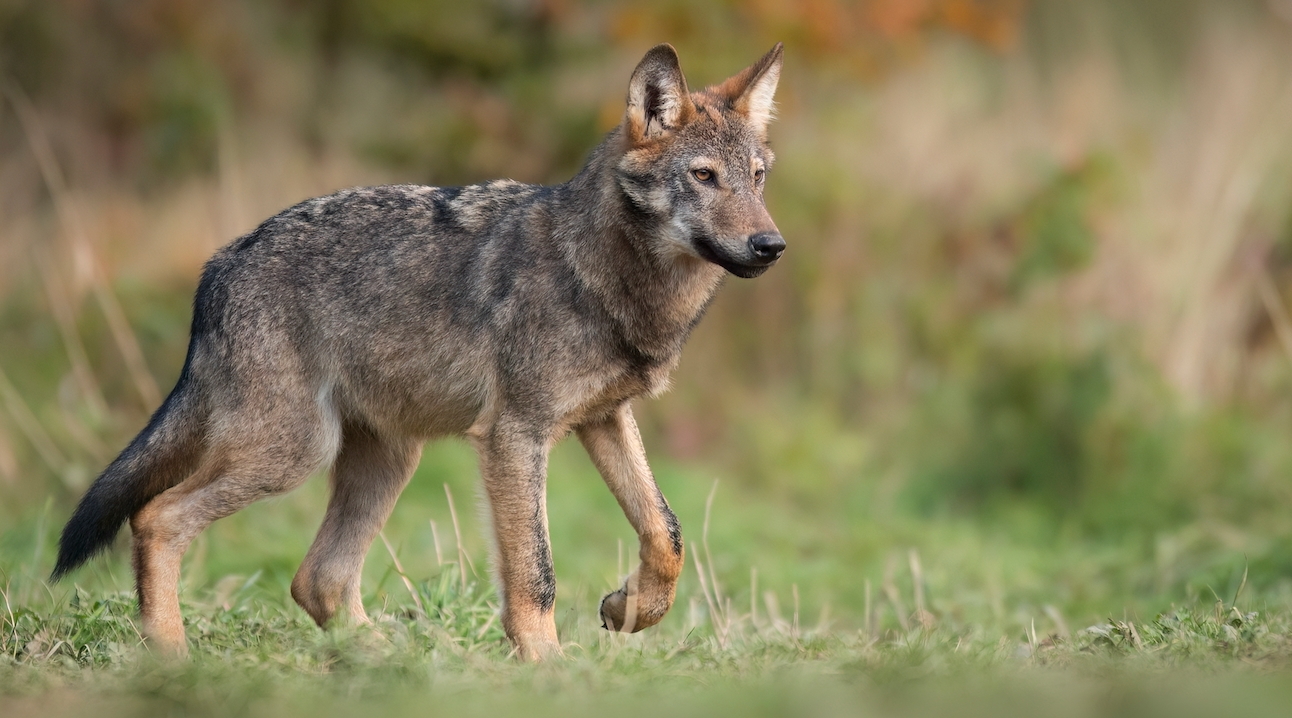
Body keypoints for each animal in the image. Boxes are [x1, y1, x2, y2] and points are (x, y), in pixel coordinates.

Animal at [51, 42, 786, 660]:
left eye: (756, 178)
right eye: (704, 176)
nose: (771, 246)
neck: (602, 276)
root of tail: (216, 269)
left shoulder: (603, 419)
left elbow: (666, 533)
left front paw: (627, 610)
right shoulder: (516, 436)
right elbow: (537, 574)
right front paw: (549, 670)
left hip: (388, 459)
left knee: (317, 579)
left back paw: (396, 661)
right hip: (293, 453)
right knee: (156, 519)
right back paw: (171, 657)